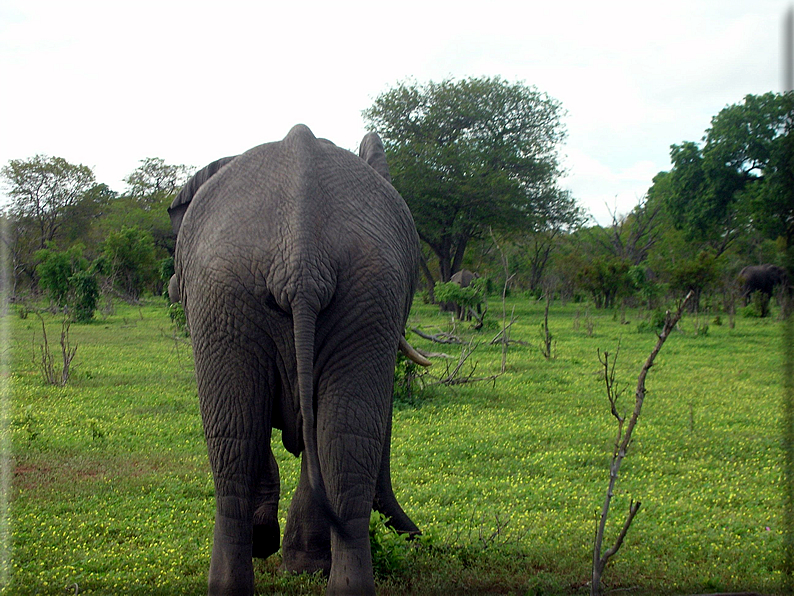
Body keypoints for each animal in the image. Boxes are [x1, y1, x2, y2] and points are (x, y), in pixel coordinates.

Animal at [166, 123, 434, 592]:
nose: (420, 537)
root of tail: (302, 255)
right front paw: (281, 551)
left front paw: (292, 559)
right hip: (243, 291)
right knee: (263, 440)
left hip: (339, 291)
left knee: (273, 442)